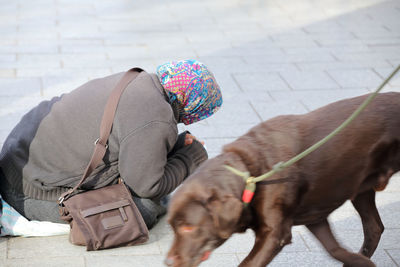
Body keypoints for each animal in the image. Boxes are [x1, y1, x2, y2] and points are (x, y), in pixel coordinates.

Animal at [164, 92, 398, 267]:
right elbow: (334, 248)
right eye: (173, 227)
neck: (250, 175)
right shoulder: (314, 218)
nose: (167, 262)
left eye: (188, 228)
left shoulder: (274, 234)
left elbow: (248, 263)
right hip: (361, 188)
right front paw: (360, 262)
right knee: (374, 227)